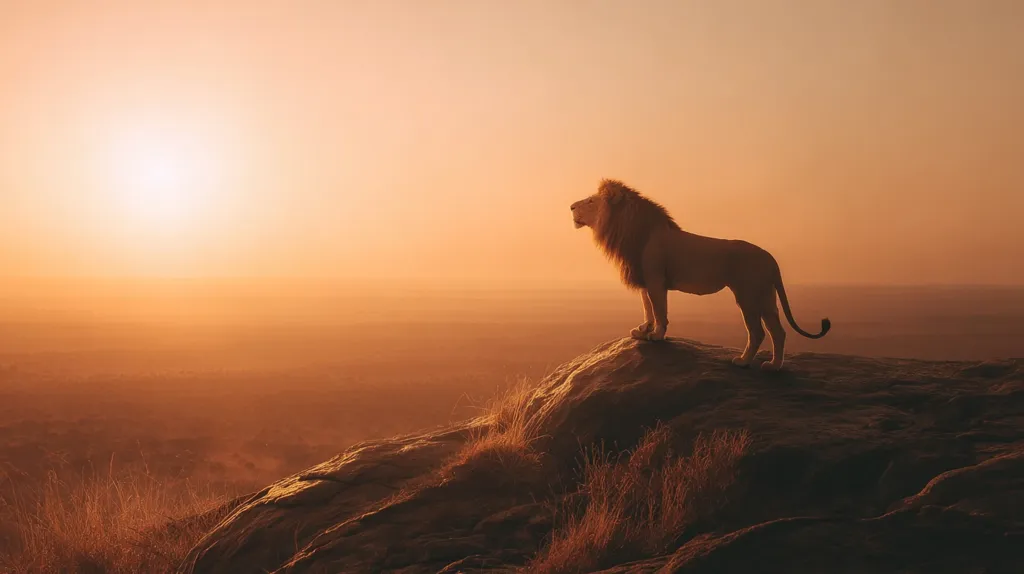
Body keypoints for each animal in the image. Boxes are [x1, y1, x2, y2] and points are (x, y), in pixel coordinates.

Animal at [570, 179, 830, 371]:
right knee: (778, 331)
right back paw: (774, 366)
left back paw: (743, 362)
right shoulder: (644, 279)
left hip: (747, 295)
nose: (571, 206)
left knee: (757, 332)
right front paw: (642, 331)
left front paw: (657, 335)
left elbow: (659, 310)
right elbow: (647, 308)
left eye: (591, 201)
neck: (632, 232)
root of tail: (771, 258)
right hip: (765, 296)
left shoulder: (655, 279)